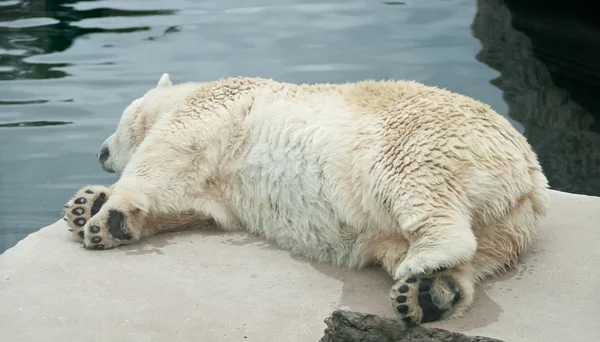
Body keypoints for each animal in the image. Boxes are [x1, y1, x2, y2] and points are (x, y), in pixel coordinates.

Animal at [61, 74, 548, 326]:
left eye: (119, 121)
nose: (101, 152)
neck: (187, 93)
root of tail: (529, 178)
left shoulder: (208, 109)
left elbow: (162, 159)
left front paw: (105, 219)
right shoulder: (218, 188)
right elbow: (194, 208)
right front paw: (86, 204)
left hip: (420, 140)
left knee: (415, 187)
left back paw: (425, 263)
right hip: (506, 225)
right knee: (475, 255)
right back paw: (427, 294)